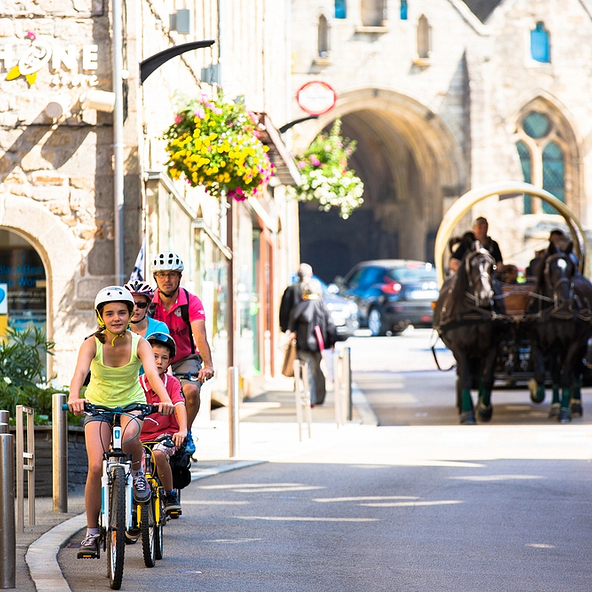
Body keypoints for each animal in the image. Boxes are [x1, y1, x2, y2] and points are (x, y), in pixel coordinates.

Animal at [432, 242, 506, 426]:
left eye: (492, 266)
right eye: (471, 266)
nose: (485, 295)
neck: (475, 311)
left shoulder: (493, 346)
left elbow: (487, 378)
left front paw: (484, 409)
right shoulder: (460, 348)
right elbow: (465, 377)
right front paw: (467, 413)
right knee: (462, 373)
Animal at [524, 243, 588, 424]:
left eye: (571, 269)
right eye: (551, 268)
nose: (566, 300)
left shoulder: (575, 343)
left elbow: (566, 376)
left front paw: (565, 412)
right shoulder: (538, 343)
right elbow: (541, 374)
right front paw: (537, 392)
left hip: (581, 345)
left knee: (576, 371)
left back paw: (575, 405)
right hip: (556, 349)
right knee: (555, 372)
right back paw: (555, 406)